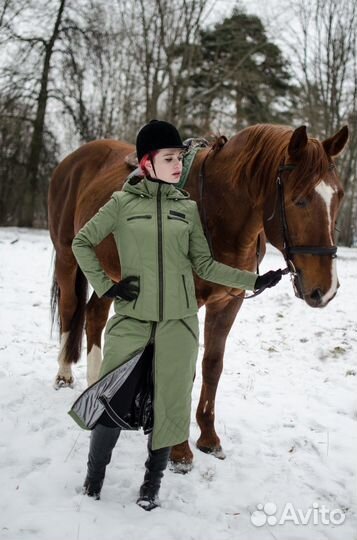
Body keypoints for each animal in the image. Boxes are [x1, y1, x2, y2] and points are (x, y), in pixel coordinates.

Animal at [48, 122, 346, 468]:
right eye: (299, 200)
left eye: (339, 196)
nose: (325, 288)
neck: (218, 212)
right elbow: (182, 368)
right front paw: (178, 450)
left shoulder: (227, 303)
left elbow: (212, 366)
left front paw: (208, 438)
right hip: (68, 258)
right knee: (71, 308)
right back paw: (64, 375)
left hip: (111, 274)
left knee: (94, 314)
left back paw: (99, 385)